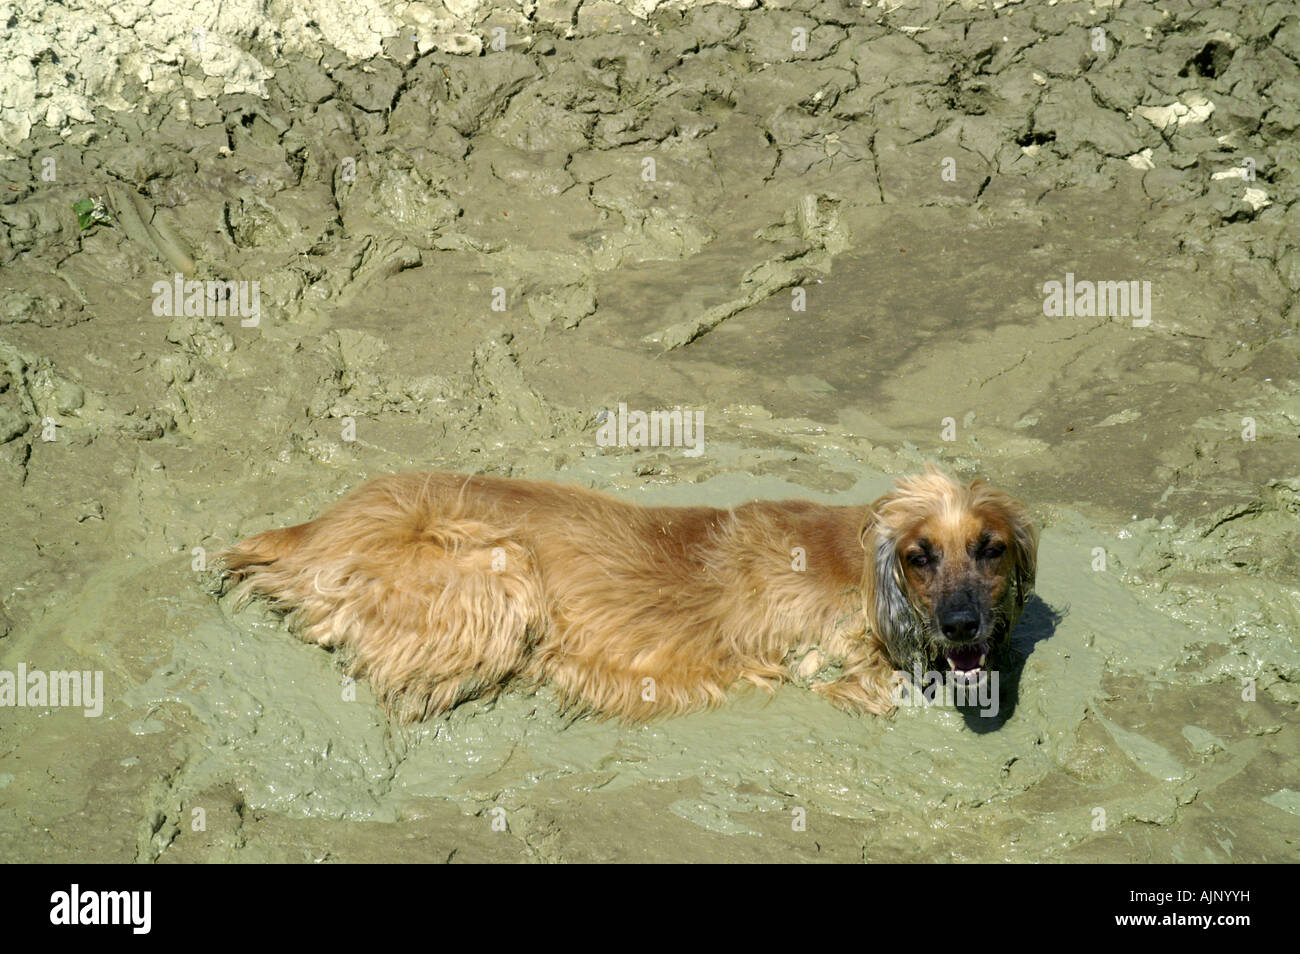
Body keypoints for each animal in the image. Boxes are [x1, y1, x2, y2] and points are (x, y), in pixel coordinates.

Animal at [220, 467, 1034, 722]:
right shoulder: (824, 660)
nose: (963, 627)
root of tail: (315, 527)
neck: (854, 566)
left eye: (989, 549)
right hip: (500, 569)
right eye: (921, 557)